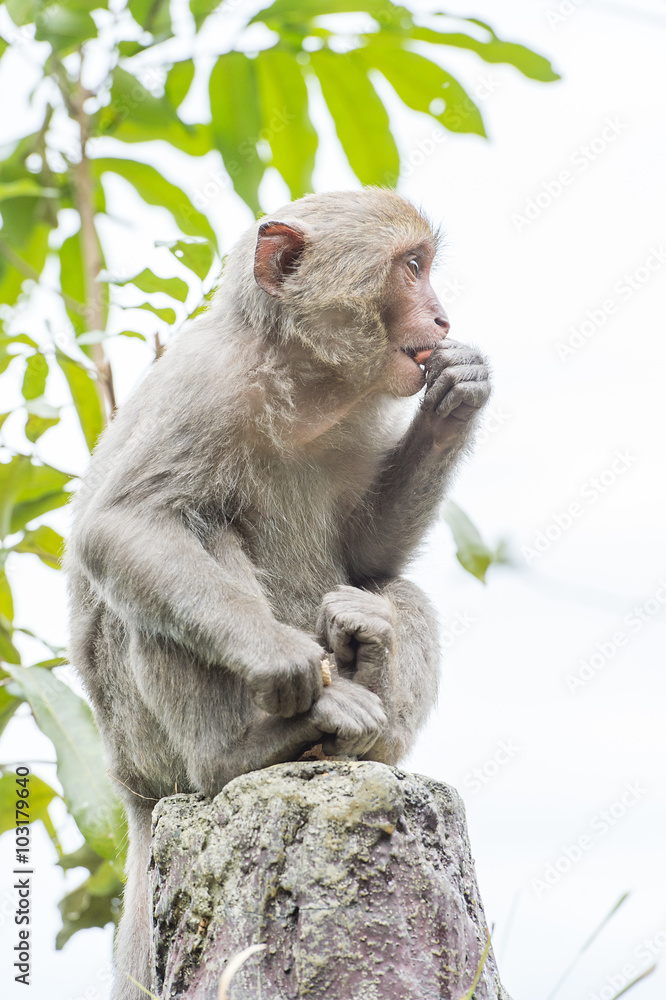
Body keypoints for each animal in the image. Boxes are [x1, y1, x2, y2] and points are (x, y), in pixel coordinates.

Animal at [65, 186, 490, 992]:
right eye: (411, 267)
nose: (445, 318)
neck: (298, 381)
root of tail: (132, 790)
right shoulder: (202, 386)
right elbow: (124, 527)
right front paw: (278, 659)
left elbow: (367, 549)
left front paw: (457, 395)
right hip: (149, 744)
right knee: (193, 538)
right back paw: (246, 748)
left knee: (396, 593)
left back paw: (373, 697)